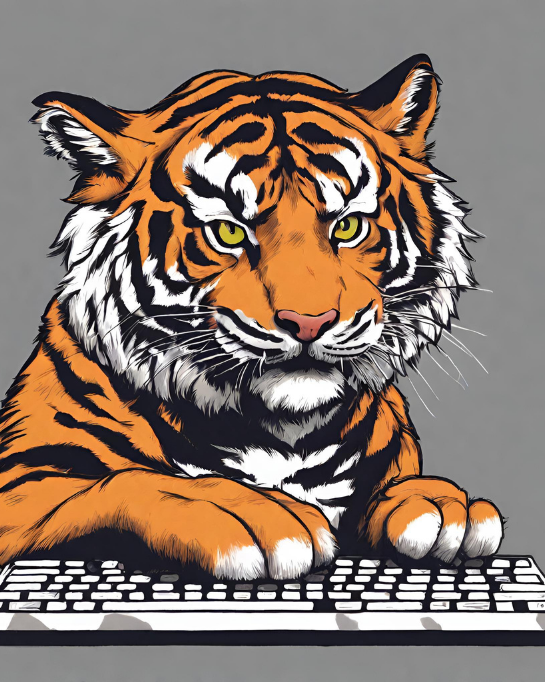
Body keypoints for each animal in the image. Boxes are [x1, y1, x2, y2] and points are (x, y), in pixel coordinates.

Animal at [0, 54, 503, 580]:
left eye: (347, 226)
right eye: (228, 232)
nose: (309, 322)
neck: (283, 433)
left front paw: (442, 507)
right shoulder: (20, 484)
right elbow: (115, 484)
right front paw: (248, 512)